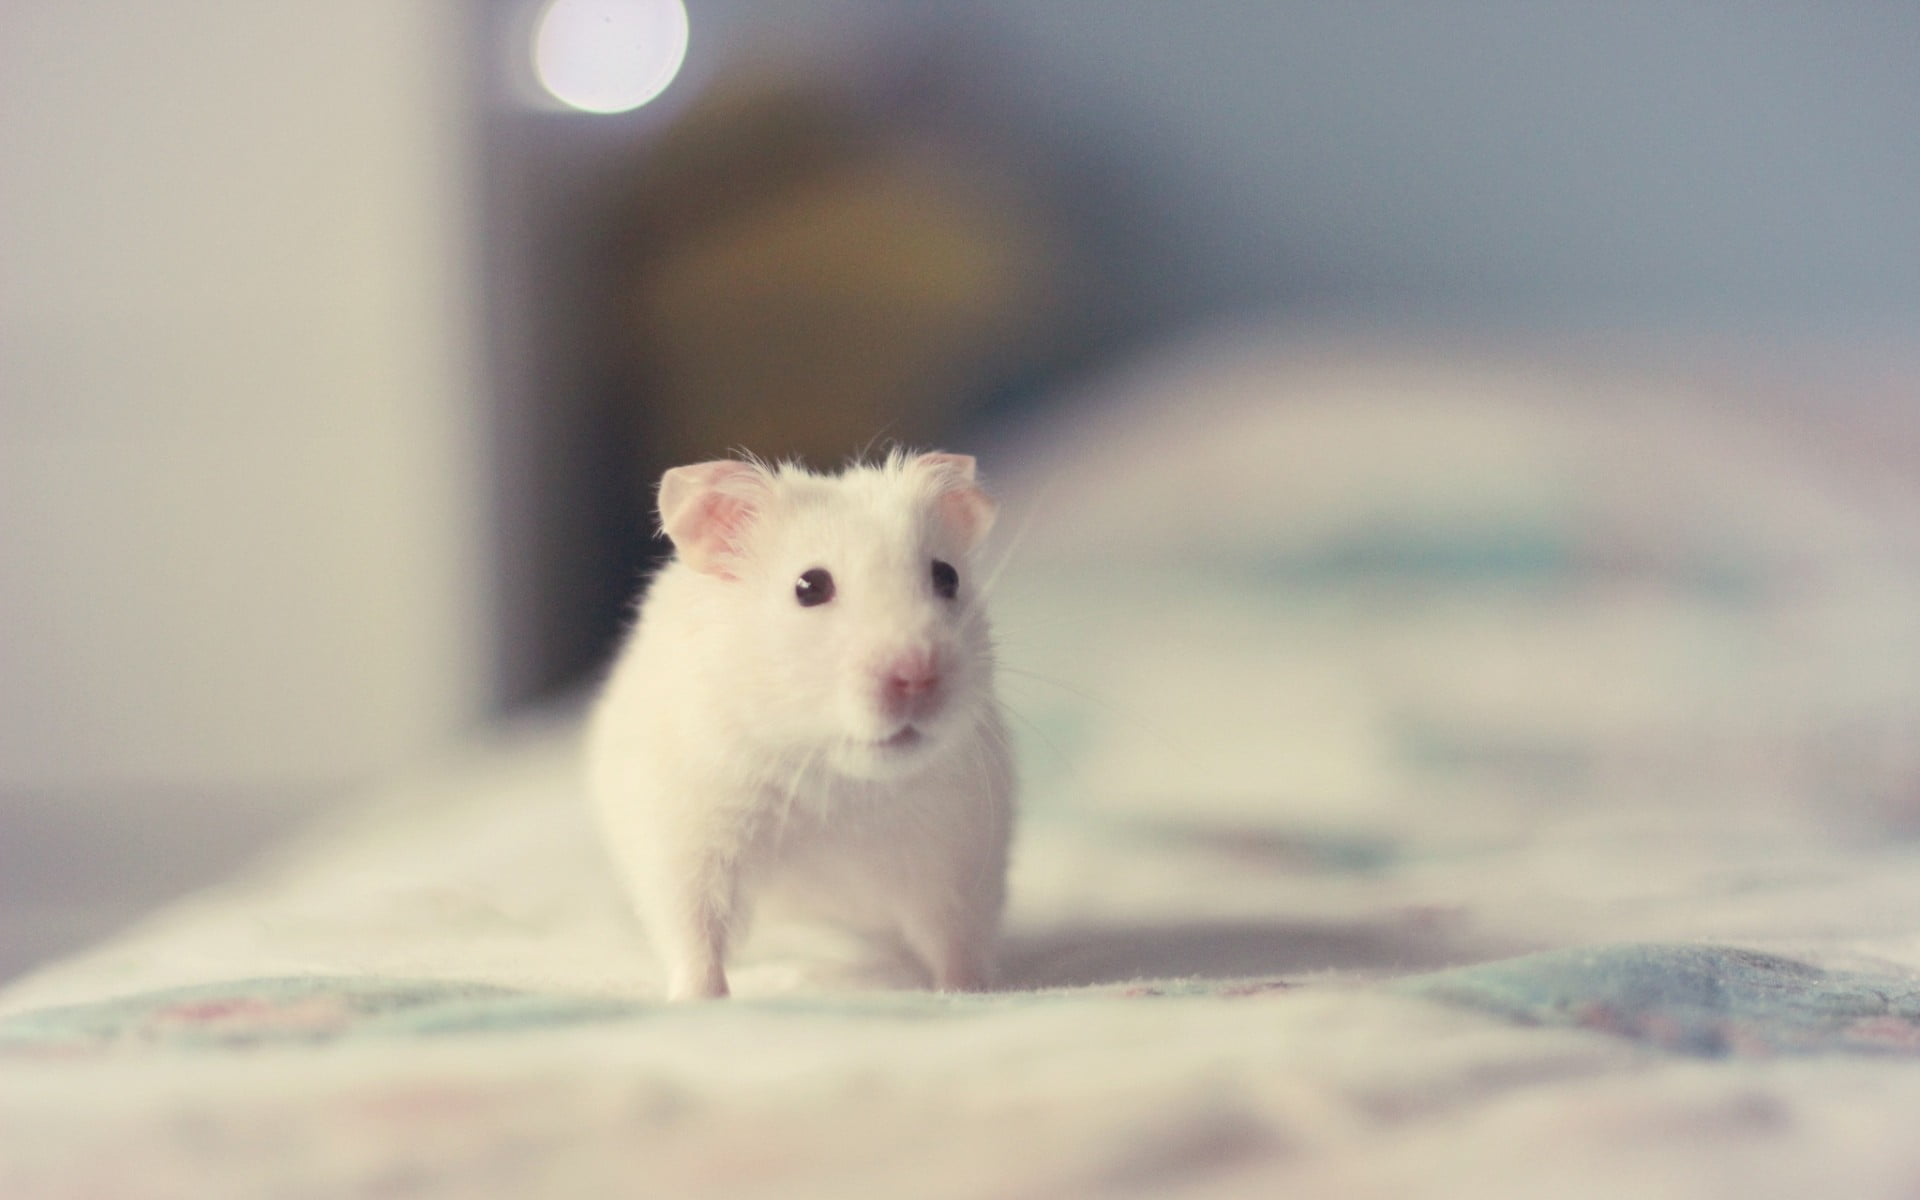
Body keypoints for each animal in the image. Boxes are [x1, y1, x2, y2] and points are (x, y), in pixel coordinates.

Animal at [587, 450, 1015, 1001]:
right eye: (810, 587)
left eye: (947, 577)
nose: (917, 676)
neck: (835, 782)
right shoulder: (686, 844)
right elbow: (696, 936)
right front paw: (700, 1001)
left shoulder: (961, 854)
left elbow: (956, 938)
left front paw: (969, 993)